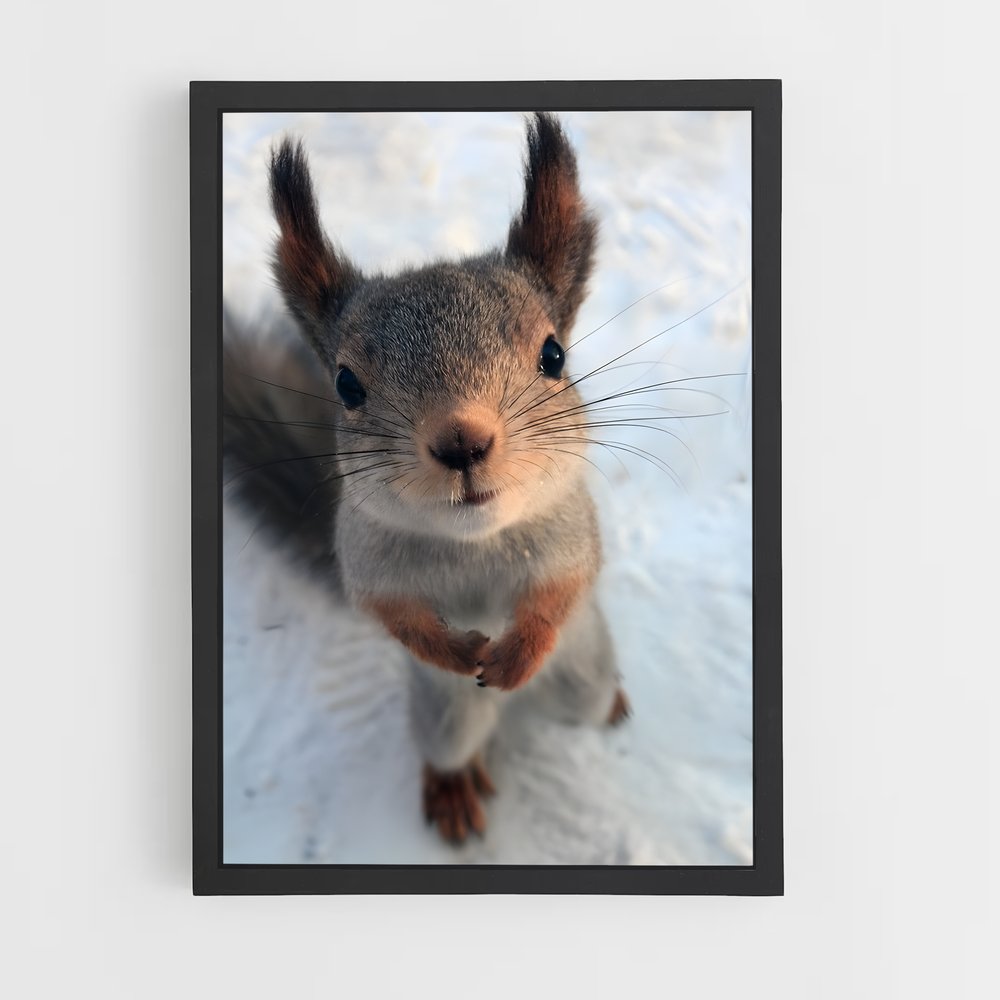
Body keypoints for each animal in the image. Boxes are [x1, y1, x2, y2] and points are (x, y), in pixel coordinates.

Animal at [224, 113, 630, 844]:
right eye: (346, 384)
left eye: (554, 355)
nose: (461, 441)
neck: (474, 541)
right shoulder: (363, 557)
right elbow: (390, 614)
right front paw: (456, 652)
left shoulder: (570, 531)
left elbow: (563, 588)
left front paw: (519, 649)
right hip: (445, 719)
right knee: (449, 746)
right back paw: (452, 788)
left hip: (584, 673)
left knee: (585, 698)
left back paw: (605, 701)